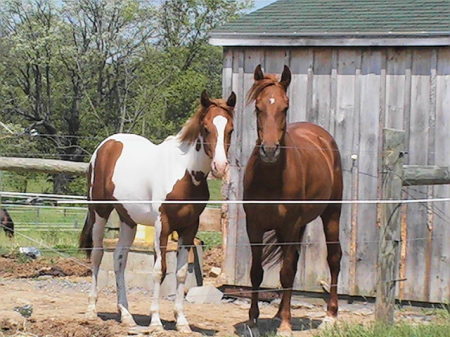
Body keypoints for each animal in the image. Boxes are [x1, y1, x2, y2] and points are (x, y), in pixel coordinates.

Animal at [79, 90, 236, 332]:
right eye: (206, 127)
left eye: (230, 129)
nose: (220, 167)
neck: (185, 173)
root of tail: (106, 145)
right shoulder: (163, 225)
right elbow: (158, 270)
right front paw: (155, 321)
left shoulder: (189, 228)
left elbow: (180, 273)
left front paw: (182, 322)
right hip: (99, 212)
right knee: (97, 255)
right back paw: (91, 310)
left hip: (128, 220)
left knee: (119, 259)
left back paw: (126, 315)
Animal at [244, 65, 342, 334]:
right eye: (258, 107)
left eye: (285, 107)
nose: (269, 150)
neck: (270, 179)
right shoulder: (254, 226)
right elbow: (256, 272)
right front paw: (253, 320)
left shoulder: (289, 225)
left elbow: (286, 272)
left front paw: (286, 325)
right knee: (294, 262)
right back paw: (278, 313)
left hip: (331, 214)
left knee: (334, 258)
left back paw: (330, 315)